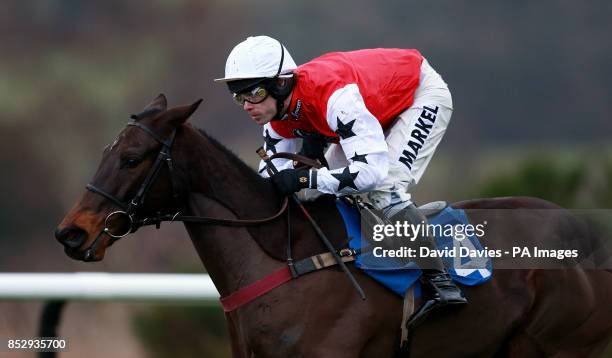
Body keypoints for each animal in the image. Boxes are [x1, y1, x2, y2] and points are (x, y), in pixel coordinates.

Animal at [56, 95, 612, 358]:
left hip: (557, 345)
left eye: (131, 158)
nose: (71, 233)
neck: (286, 256)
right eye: (108, 152)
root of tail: (588, 235)